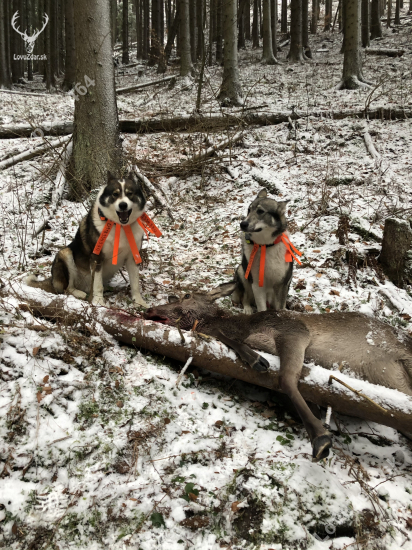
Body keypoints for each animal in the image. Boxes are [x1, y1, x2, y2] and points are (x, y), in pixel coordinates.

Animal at [25, 172, 148, 308]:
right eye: (115, 194)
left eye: (130, 193)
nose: (123, 205)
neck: (119, 227)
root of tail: (52, 280)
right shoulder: (96, 257)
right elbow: (97, 285)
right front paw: (99, 301)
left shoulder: (133, 257)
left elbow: (135, 283)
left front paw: (138, 301)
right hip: (65, 253)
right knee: (67, 289)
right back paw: (80, 293)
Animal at [146, 284, 412, 462]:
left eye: (186, 295)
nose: (150, 309)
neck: (242, 326)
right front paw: (255, 358)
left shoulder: (292, 329)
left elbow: (285, 378)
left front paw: (320, 438)